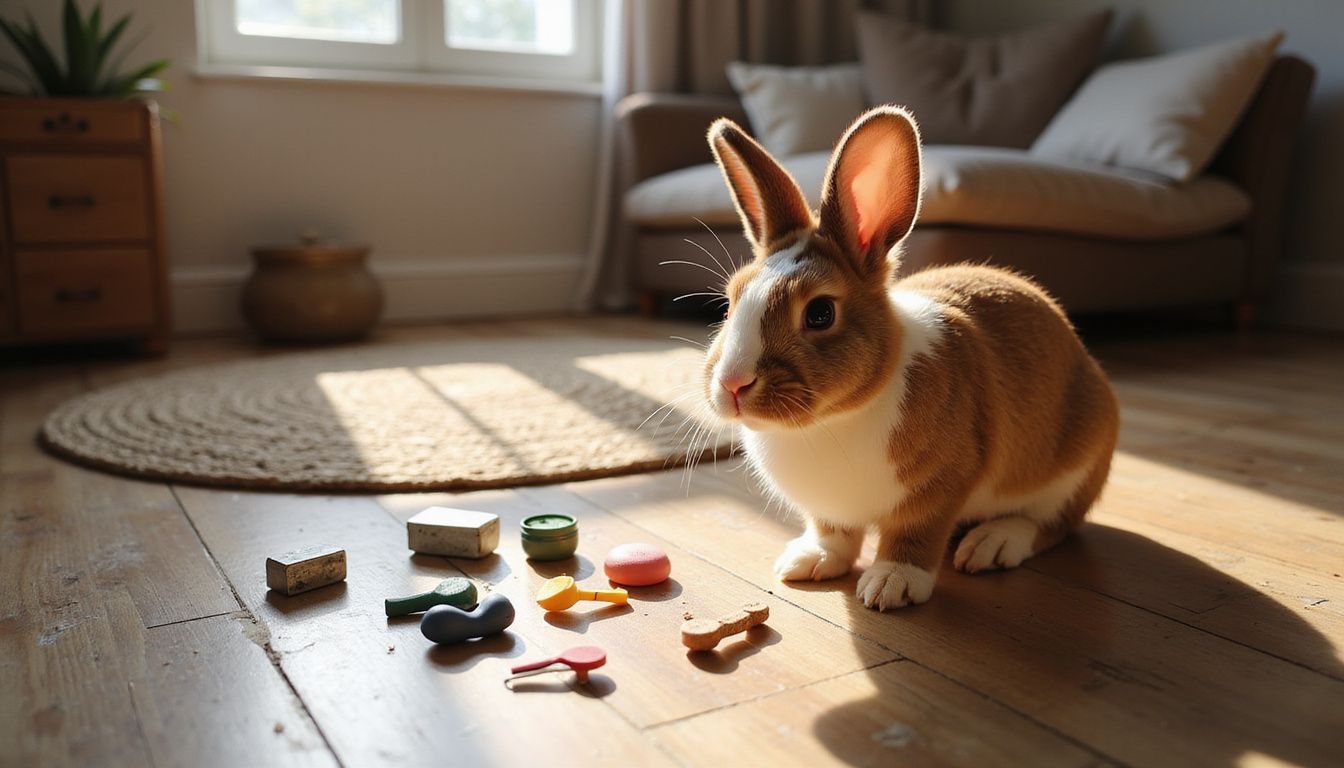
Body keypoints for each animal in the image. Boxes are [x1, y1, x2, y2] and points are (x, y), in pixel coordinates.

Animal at [701, 106, 1119, 610]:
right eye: (730, 303)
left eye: (820, 313)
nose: (732, 384)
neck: (831, 421)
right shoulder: (828, 510)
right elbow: (833, 533)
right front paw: (810, 561)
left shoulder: (941, 486)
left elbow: (915, 535)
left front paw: (891, 585)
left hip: (1072, 472)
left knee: (1049, 523)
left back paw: (993, 543)